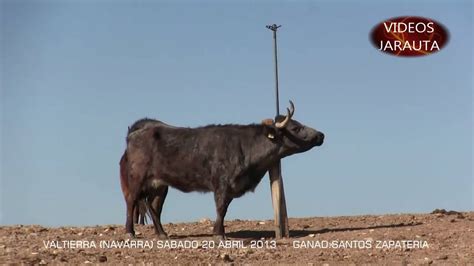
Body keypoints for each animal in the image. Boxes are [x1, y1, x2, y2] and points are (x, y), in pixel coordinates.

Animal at [120, 101, 324, 239]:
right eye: (296, 127)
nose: (321, 135)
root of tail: (139, 130)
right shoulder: (222, 185)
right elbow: (221, 208)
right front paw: (218, 234)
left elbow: (224, 210)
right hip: (137, 179)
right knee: (131, 202)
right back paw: (130, 232)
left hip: (160, 185)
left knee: (154, 207)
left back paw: (162, 234)